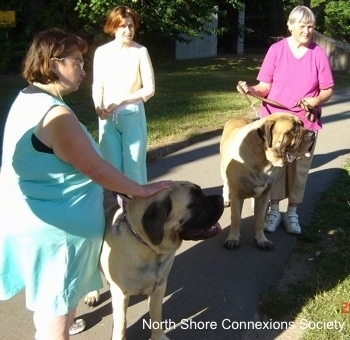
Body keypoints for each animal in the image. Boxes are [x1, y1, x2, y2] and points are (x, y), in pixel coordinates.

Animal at [86, 182, 226, 340]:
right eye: (197, 202)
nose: (221, 197)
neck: (148, 248)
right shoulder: (120, 294)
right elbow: (121, 324)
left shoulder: (158, 287)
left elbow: (156, 315)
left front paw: (158, 336)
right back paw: (92, 294)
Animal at [220, 113, 316, 250]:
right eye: (293, 130)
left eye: (302, 125)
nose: (312, 134)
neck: (264, 160)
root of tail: (236, 117)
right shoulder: (237, 195)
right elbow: (236, 219)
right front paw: (233, 238)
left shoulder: (265, 194)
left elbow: (259, 221)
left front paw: (261, 240)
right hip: (223, 170)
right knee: (226, 185)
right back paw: (226, 200)